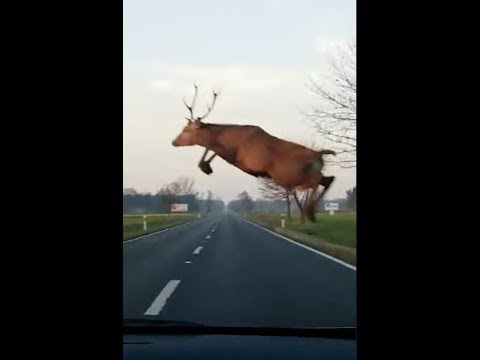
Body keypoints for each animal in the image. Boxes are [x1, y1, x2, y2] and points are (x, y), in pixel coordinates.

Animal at [173, 84, 338, 221]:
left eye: (186, 130)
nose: (174, 142)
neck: (229, 137)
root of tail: (319, 155)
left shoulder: (242, 157)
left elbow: (212, 148)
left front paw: (205, 166)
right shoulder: (235, 158)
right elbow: (212, 149)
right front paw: (205, 166)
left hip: (290, 175)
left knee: (317, 181)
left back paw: (309, 212)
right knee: (328, 179)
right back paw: (310, 213)